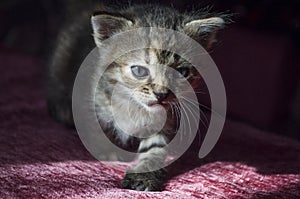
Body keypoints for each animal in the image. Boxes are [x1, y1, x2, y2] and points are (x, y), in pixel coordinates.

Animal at [46, 3, 225, 191]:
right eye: (139, 71)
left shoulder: (164, 118)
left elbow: (155, 148)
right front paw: (106, 150)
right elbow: (92, 127)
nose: (161, 94)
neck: (133, 104)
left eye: (181, 72)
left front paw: (144, 175)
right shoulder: (85, 96)